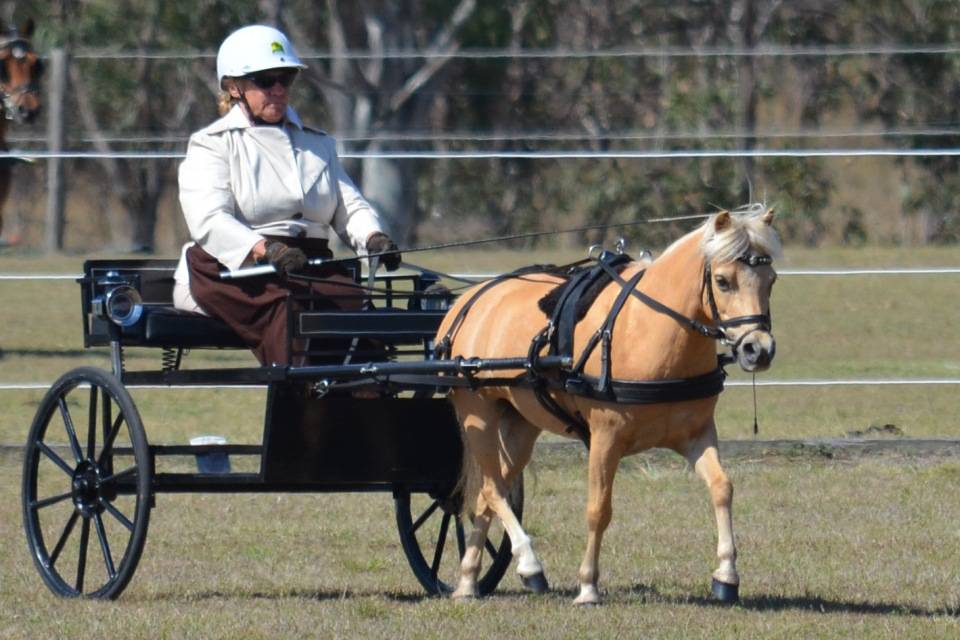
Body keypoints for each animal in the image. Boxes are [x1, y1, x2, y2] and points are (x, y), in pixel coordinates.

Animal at [436, 207, 780, 605]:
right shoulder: (605, 438)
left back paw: (468, 580)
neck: (651, 330)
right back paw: (529, 564)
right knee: (492, 490)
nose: (758, 350)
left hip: (520, 424)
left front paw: (726, 575)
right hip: (477, 414)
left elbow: (722, 488)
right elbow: (598, 509)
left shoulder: (696, 434)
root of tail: (468, 301)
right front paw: (588, 586)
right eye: (723, 281)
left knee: (488, 494)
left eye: (771, 280)